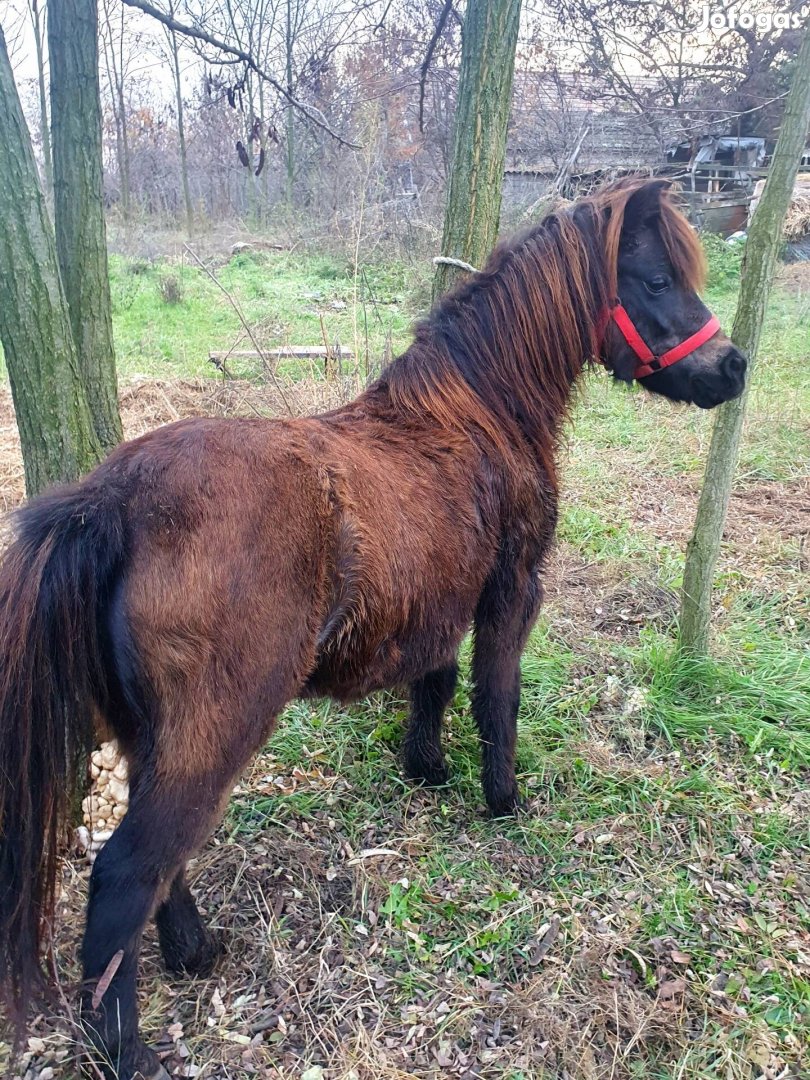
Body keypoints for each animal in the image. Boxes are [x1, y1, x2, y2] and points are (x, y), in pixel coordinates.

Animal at [0, 179, 747, 1080]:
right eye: (657, 278)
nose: (734, 366)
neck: (477, 411)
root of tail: (113, 499)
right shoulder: (512, 594)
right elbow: (496, 698)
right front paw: (503, 800)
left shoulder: (441, 602)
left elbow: (437, 680)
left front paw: (426, 766)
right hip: (213, 733)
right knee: (124, 873)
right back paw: (129, 1047)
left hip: (153, 736)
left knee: (159, 865)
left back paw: (194, 952)